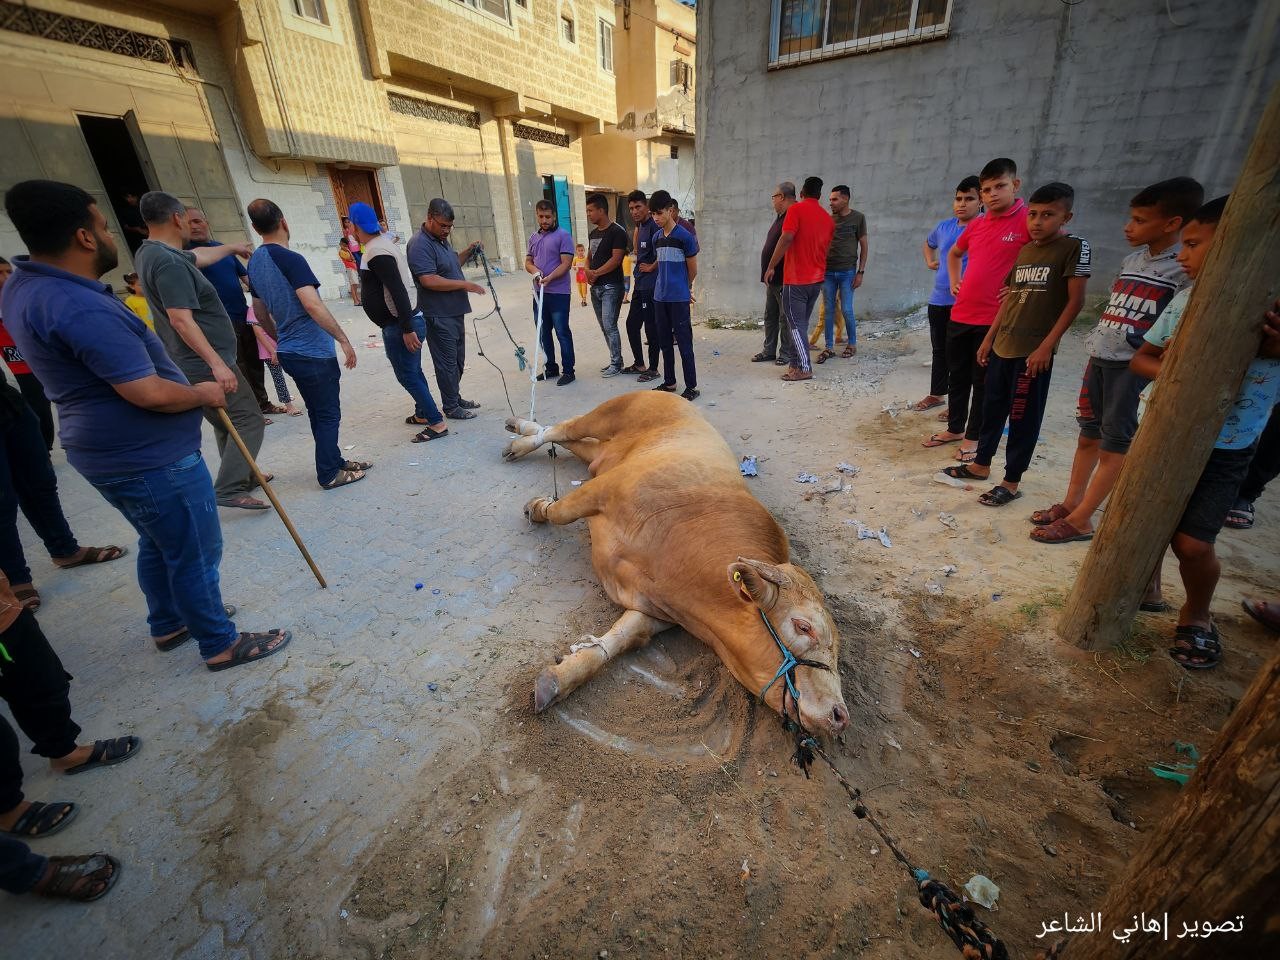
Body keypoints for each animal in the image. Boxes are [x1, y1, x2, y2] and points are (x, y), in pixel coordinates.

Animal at [499, 391, 849, 737]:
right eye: (804, 627)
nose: (839, 715)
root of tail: (670, 395)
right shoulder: (601, 490)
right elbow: (559, 512)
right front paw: (538, 508)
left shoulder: (651, 612)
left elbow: (617, 641)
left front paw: (559, 680)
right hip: (608, 414)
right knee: (563, 429)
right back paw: (519, 437)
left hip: (598, 454)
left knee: (575, 441)